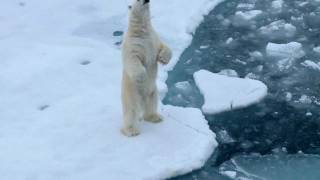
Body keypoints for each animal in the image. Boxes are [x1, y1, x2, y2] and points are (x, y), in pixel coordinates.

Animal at [120, 0, 171, 136]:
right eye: (137, 0)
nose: (146, 0)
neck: (142, 31)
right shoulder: (133, 44)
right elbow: (132, 59)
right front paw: (142, 76)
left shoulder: (153, 39)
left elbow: (163, 47)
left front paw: (164, 58)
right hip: (131, 93)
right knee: (131, 110)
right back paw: (131, 130)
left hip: (152, 91)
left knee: (152, 103)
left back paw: (154, 117)